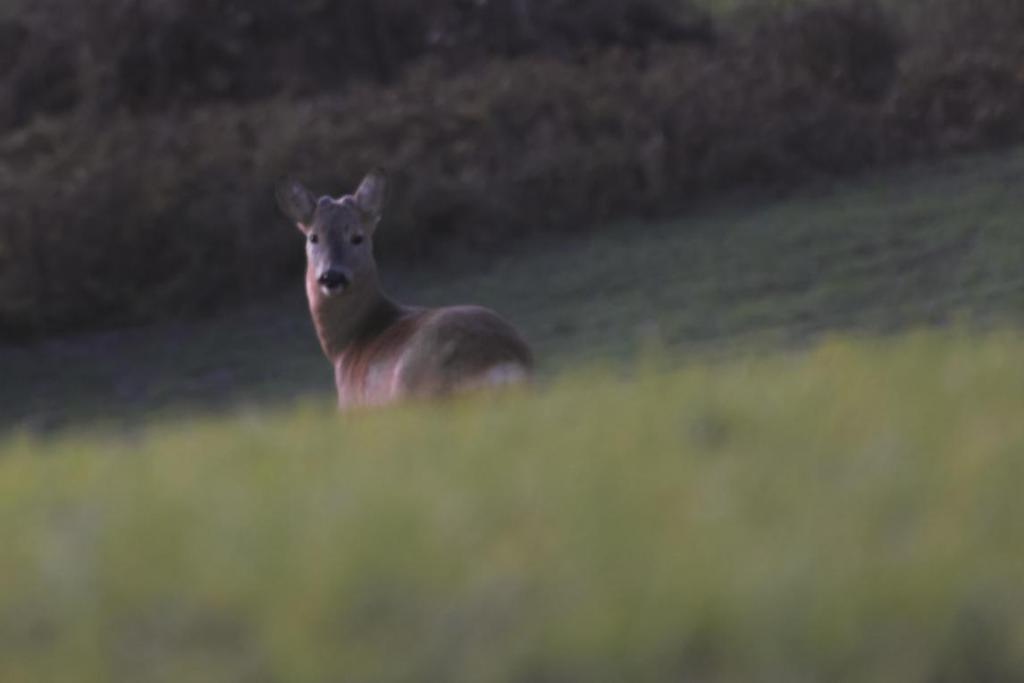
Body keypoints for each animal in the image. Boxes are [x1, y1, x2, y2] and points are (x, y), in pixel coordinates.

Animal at [278, 169, 536, 411]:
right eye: (313, 237)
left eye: (357, 237)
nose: (332, 276)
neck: (349, 344)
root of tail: (501, 363)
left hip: (421, 395)